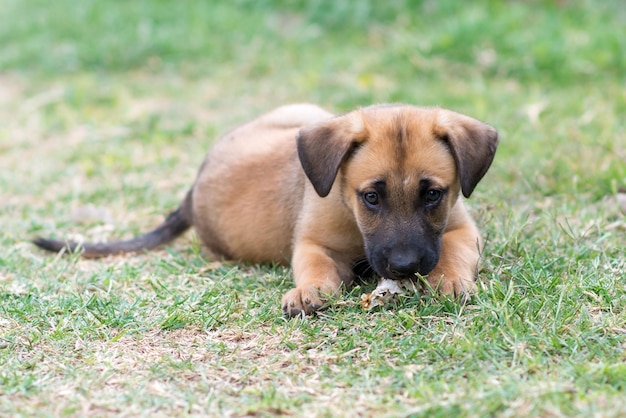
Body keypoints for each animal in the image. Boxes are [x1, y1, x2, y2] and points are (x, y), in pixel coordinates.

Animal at [35, 104, 498, 316]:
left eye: (432, 195)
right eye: (371, 197)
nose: (403, 267)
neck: (350, 212)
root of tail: (193, 191)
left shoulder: (461, 230)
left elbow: (452, 253)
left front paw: (449, 281)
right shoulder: (313, 243)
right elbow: (315, 268)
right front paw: (309, 291)